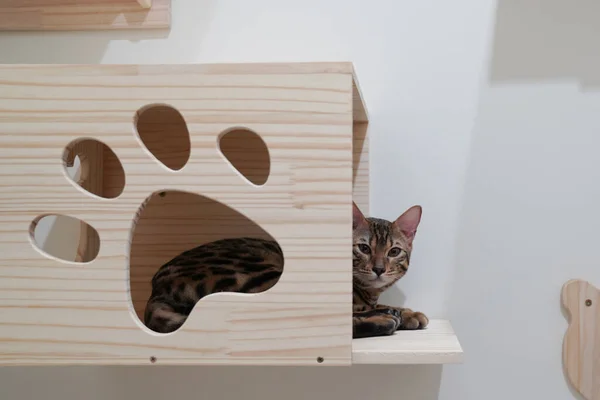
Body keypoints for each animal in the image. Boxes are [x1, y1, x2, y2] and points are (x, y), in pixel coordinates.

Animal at [144, 203, 428, 338]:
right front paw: (399, 312)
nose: (379, 269)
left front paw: (409, 312)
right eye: (363, 248)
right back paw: (384, 319)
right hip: (258, 273)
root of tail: (156, 290)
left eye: (394, 251)